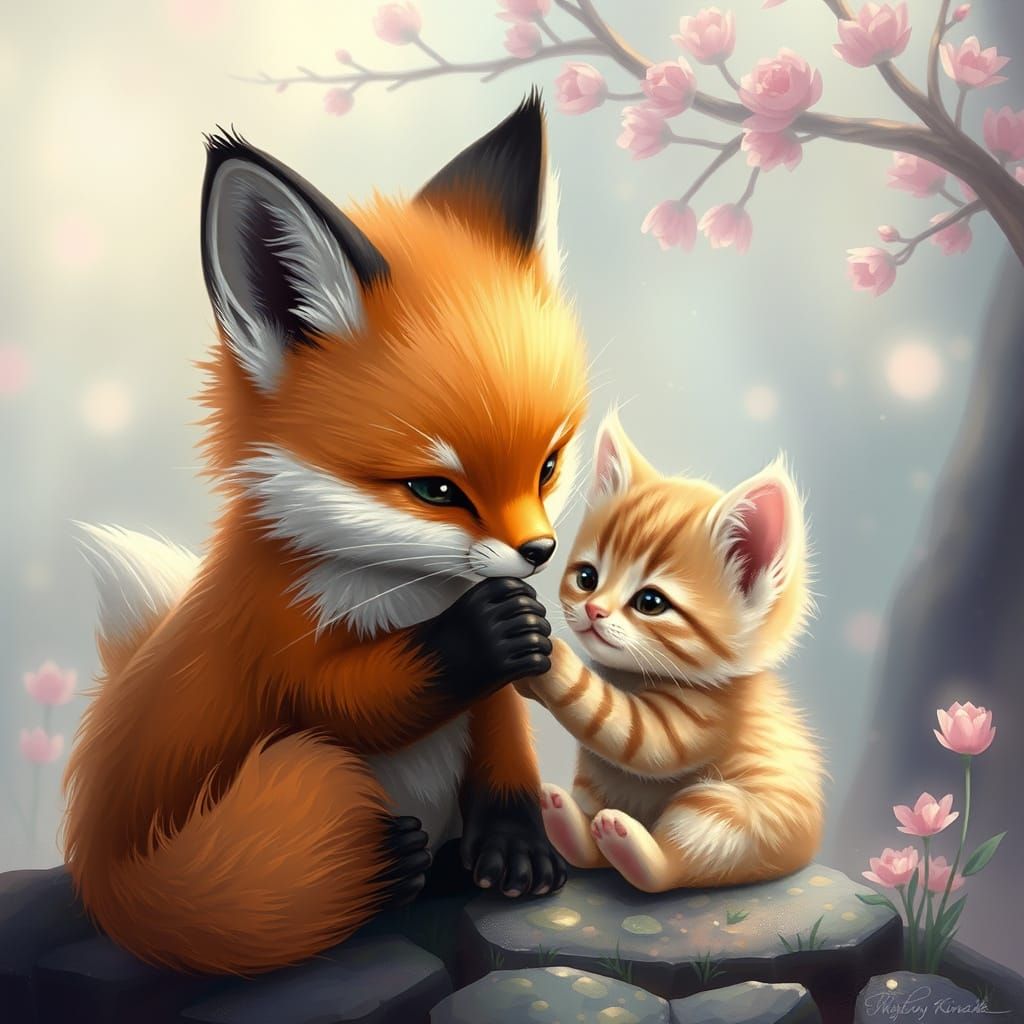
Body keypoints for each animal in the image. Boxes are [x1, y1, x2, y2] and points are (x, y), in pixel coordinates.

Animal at [62, 93, 588, 974]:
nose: (539, 553)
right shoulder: (275, 634)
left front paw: (515, 849)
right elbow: (349, 699)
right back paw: (392, 866)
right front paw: (485, 630)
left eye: (547, 466)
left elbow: (506, 744)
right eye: (435, 490)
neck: (406, 590)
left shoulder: (486, 711)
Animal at [518, 409, 824, 892]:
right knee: (594, 851)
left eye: (650, 602)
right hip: (594, 786)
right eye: (587, 578)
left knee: (669, 868)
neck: (630, 676)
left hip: (728, 811)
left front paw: (548, 655)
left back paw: (631, 846)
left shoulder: (705, 717)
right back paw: (569, 823)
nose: (593, 610)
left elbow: (621, 724)